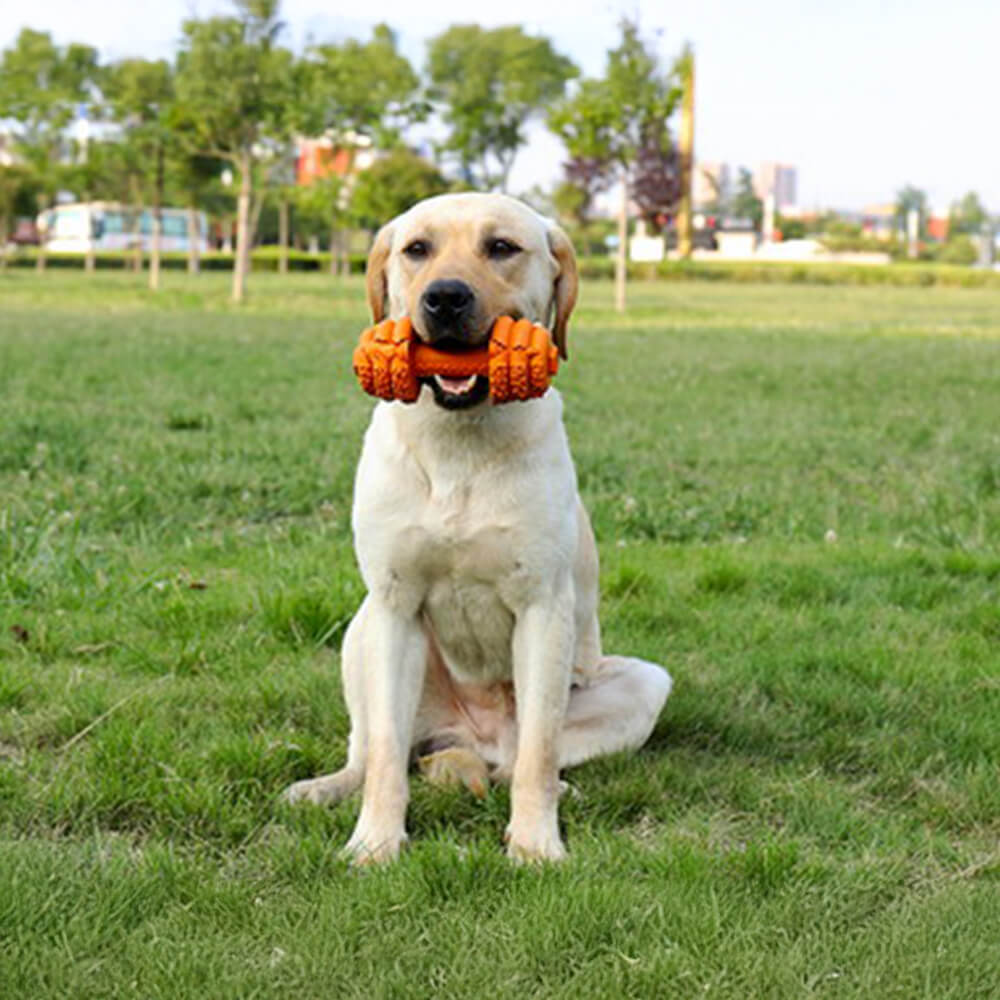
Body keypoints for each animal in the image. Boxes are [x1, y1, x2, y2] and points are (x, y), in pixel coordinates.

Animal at [284, 193, 672, 860]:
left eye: (501, 248)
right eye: (417, 249)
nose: (445, 298)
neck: (458, 445)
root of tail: (473, 738)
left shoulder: (543, 608)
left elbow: (538, 752)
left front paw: (536, 846)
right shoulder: (394, 605)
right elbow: (386, 755)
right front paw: (376, 844)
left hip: (645, 682)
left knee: (518, 760)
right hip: (361, 632)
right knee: (371, 751)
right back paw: (327, 786)